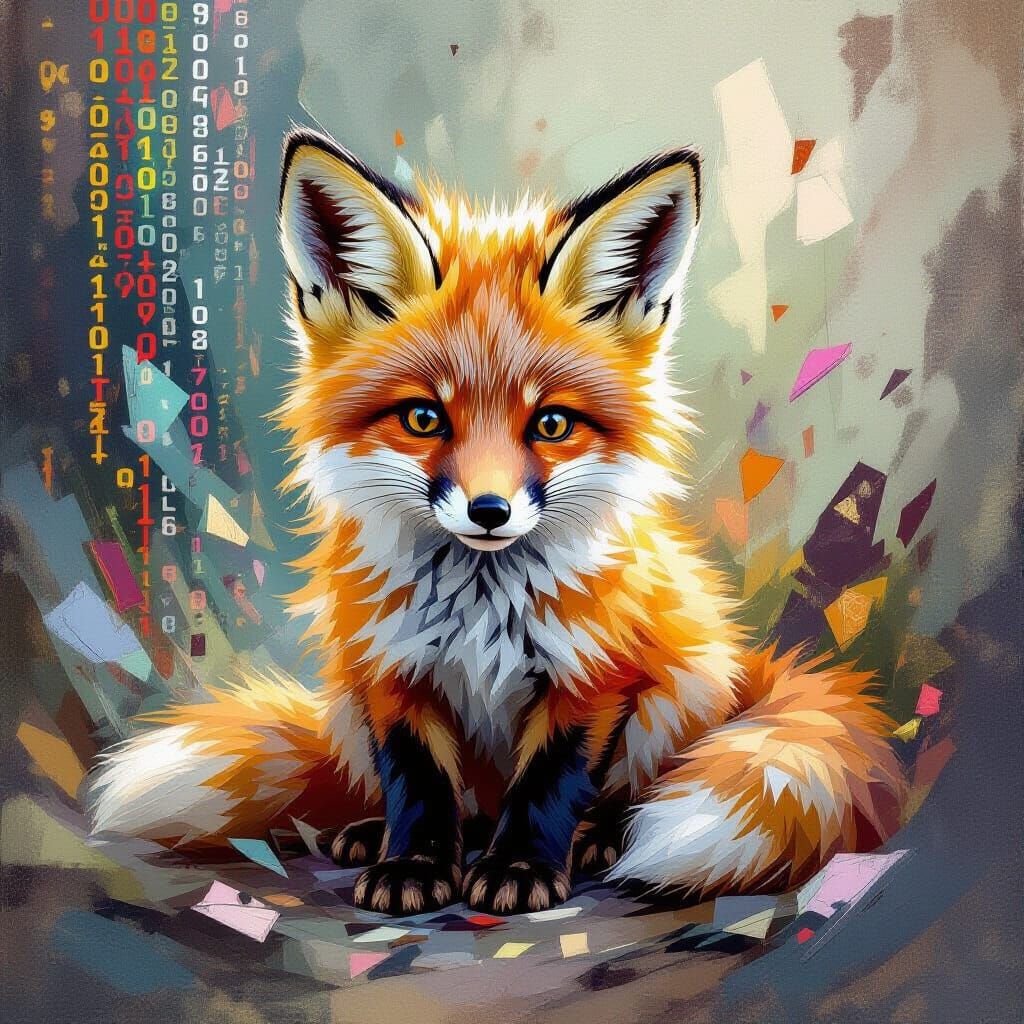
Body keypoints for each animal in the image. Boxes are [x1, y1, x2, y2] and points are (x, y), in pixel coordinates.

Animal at [88, 129, 905, 917]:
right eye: (424, 418)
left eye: (551, 424)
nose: (490, 511)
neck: (482, 607)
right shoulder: (391, 672)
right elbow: (419, 787)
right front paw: (414, 867)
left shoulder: (593, 675)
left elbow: (548, 786)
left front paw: (520, 869)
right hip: (347, 698)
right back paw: (372, 833)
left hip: (685, 687)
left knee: (619, 795)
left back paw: (600, 839)